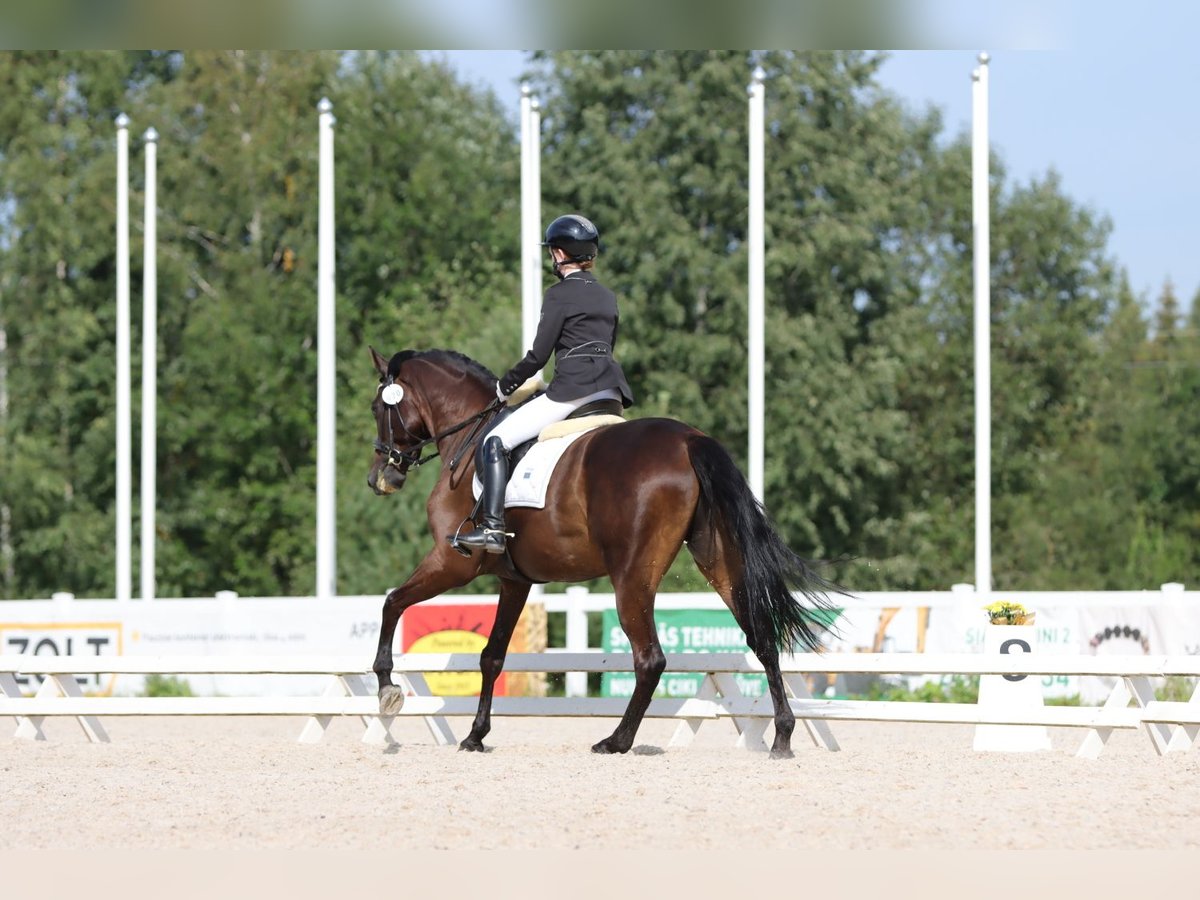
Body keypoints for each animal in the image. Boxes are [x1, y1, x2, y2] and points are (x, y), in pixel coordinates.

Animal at [364, 348, 844, 758]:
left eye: (376, 408)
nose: (380, 478)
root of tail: (689, 440)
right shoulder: (515, 579)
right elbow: (492, 655)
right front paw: (476, 736)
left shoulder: (452, 563)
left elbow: (392, 603)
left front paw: (388, 689)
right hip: (719, 560)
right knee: (761, 638)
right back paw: (782, 735)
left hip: (632, 576)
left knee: (650, 658)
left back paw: (616, 741)